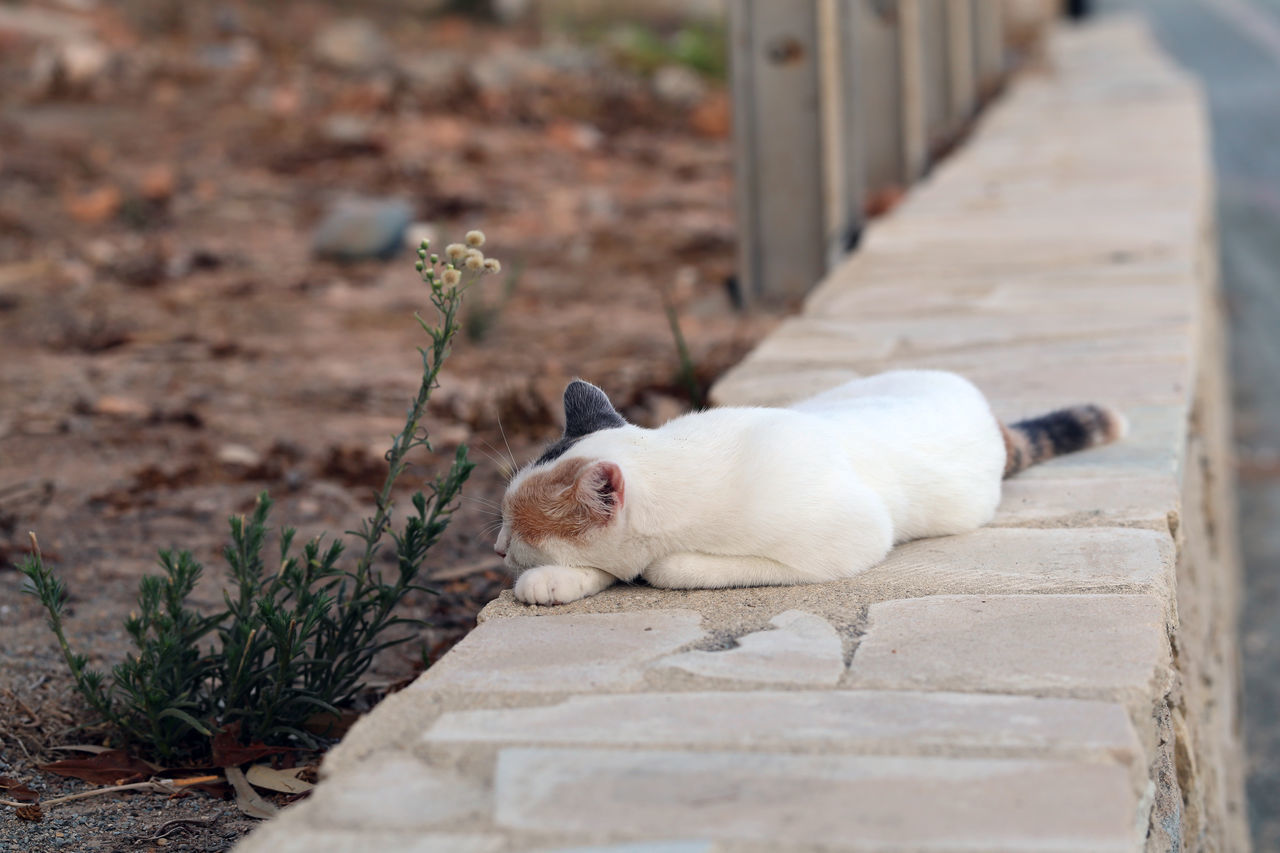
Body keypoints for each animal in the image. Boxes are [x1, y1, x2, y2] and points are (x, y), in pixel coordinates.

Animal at [494, 371, 1126, 604]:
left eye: (517, 529)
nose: (497, 549)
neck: (685, 459)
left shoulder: (853, 536)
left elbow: (671, 567)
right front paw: (556, 581)